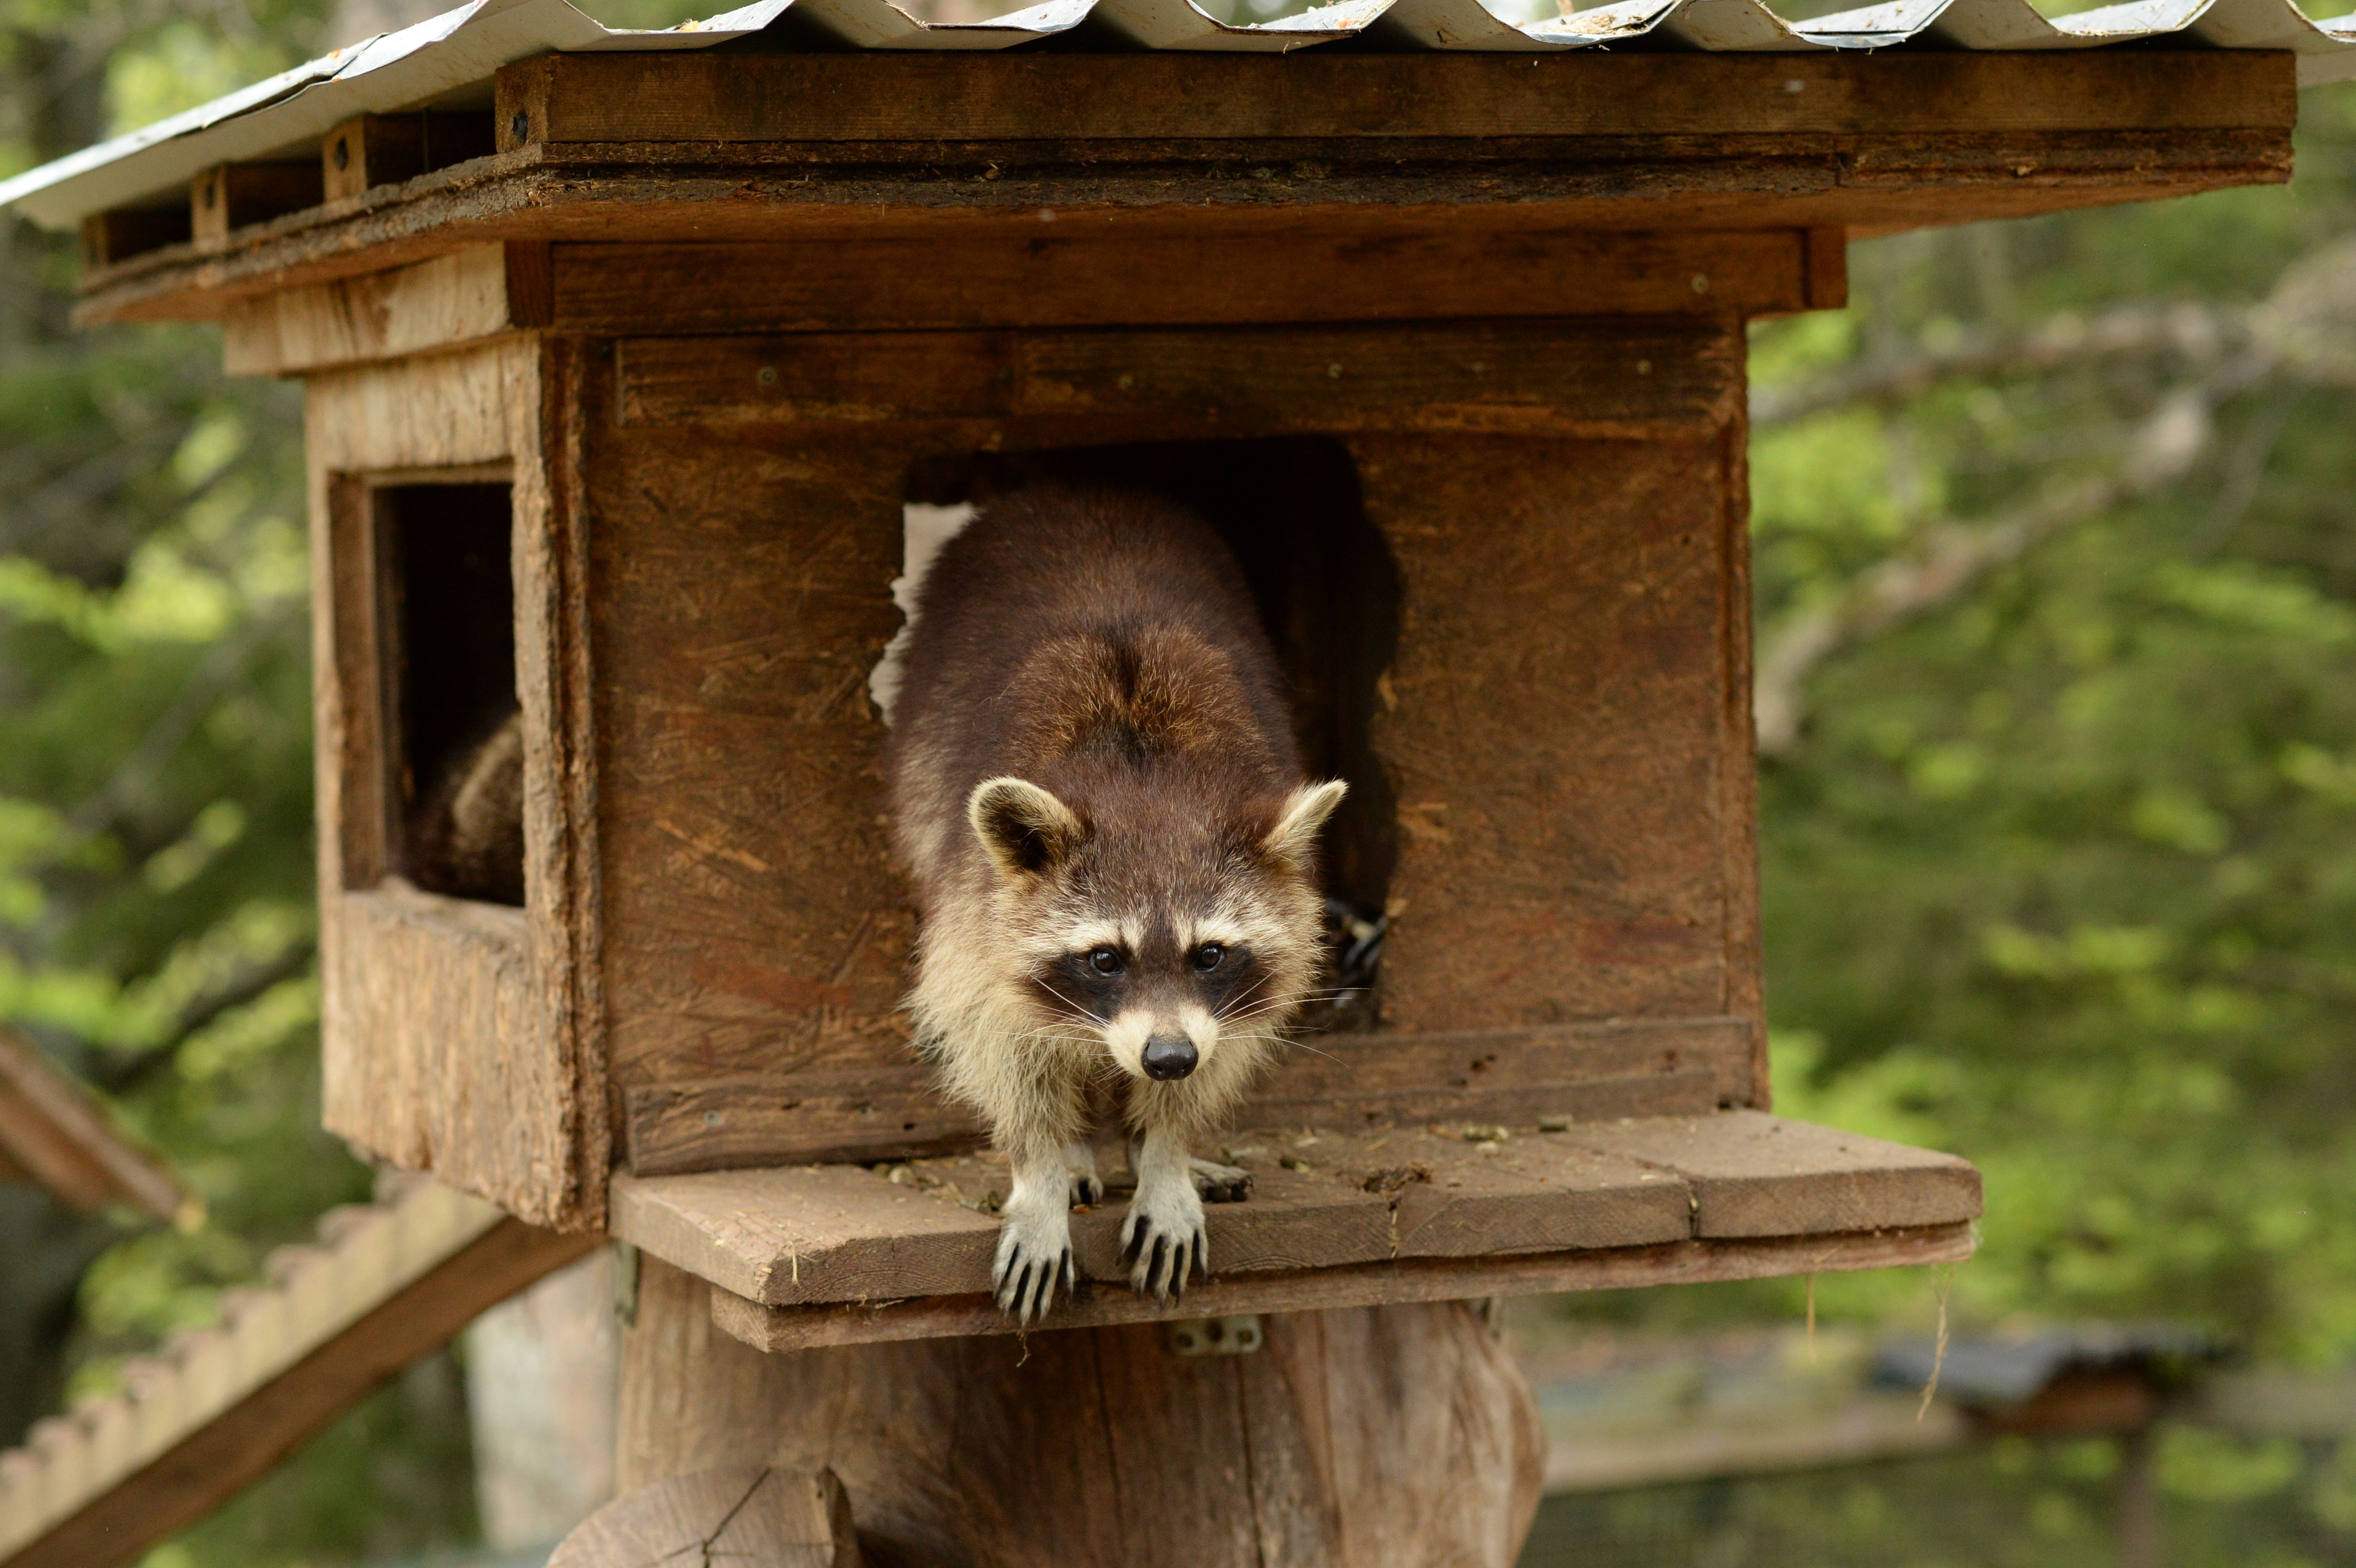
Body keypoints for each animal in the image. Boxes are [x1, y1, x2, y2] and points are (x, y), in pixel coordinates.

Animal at [886, 486, 1346, 1323]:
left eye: (1210, 954)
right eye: (1105, 959)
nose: (1167, 1058)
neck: (1146, 778)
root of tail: (1080, 489)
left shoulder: (1227, 1001)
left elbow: (1219, 1056)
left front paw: (1164, 1154)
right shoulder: (973, 912)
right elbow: (998, 1044)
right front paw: (1041, 1172)